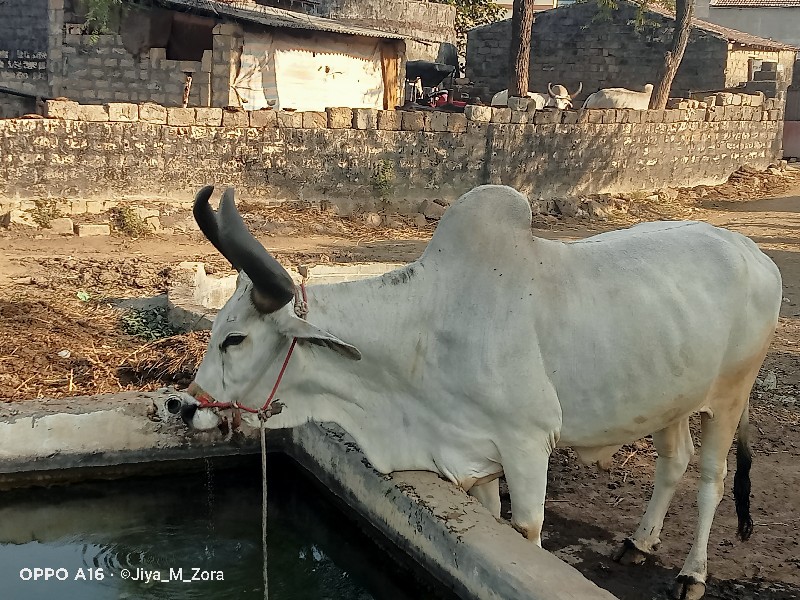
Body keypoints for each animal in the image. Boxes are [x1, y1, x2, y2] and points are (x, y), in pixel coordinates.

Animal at [173, 185, 780, 596]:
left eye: (235, 338)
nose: (183, 407)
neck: (424, 333)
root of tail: (754, 252)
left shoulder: (528, 445)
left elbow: (527, 530)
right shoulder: (476, 452)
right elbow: (490, 521)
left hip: (730, 396)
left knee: (711, 480)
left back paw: (692, 573)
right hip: (667, 400)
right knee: (673, 463)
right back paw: (639, 542)